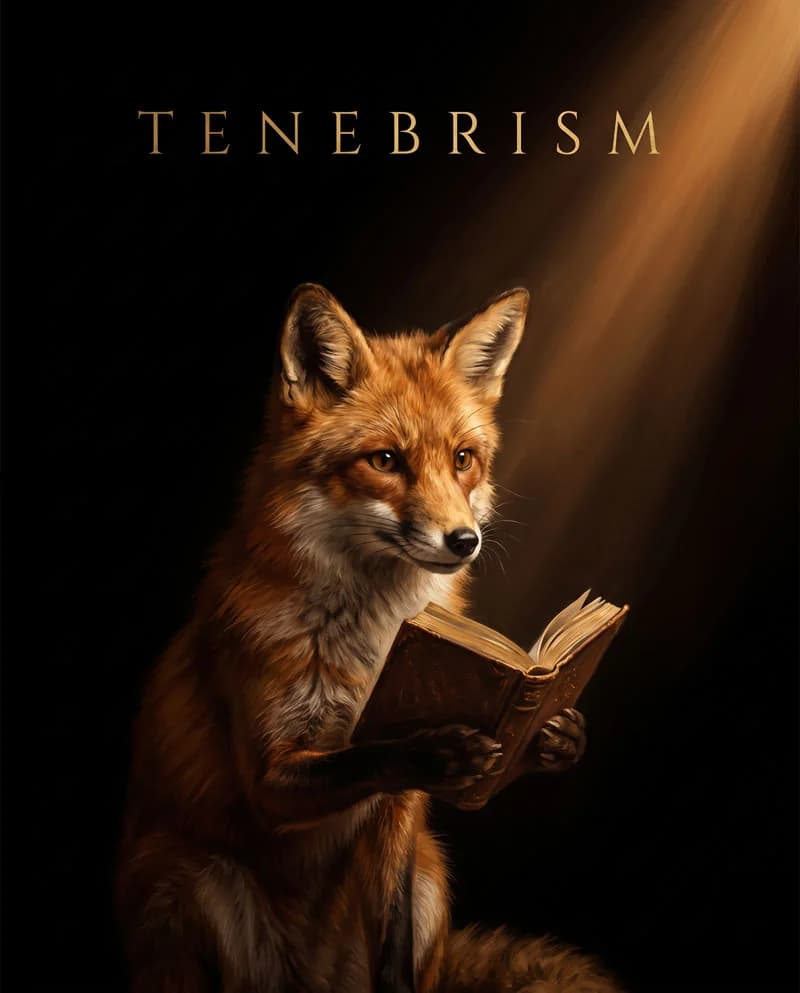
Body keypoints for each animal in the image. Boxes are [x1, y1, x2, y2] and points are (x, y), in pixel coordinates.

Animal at [116, 283, 623, 993]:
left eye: (463, 460)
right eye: (385, 460)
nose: (464, 540)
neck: (376, 645)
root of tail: (308, 982)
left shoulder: (399, 821)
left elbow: (395, 944)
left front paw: (559, 733)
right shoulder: (269, 774)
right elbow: (365, 754)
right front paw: (432, 746)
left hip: (432, 875)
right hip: (186, 880)